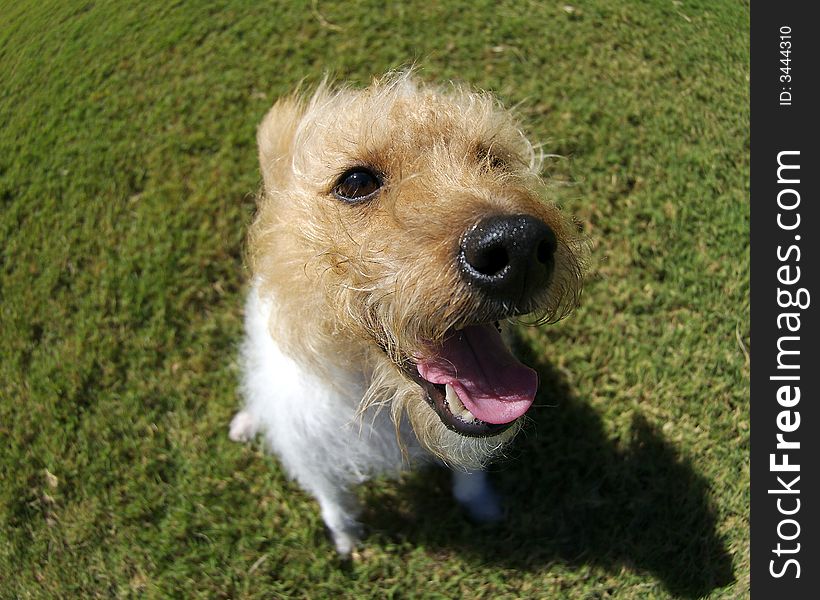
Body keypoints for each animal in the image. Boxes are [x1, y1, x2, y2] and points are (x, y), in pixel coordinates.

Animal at [229, 72, 588, 556]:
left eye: (494, 160)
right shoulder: (313, 453)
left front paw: (482, 506)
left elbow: (469, 470)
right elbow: (333, 500)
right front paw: (346, 540)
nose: (518, 246)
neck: (376, 400)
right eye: (355, 182)